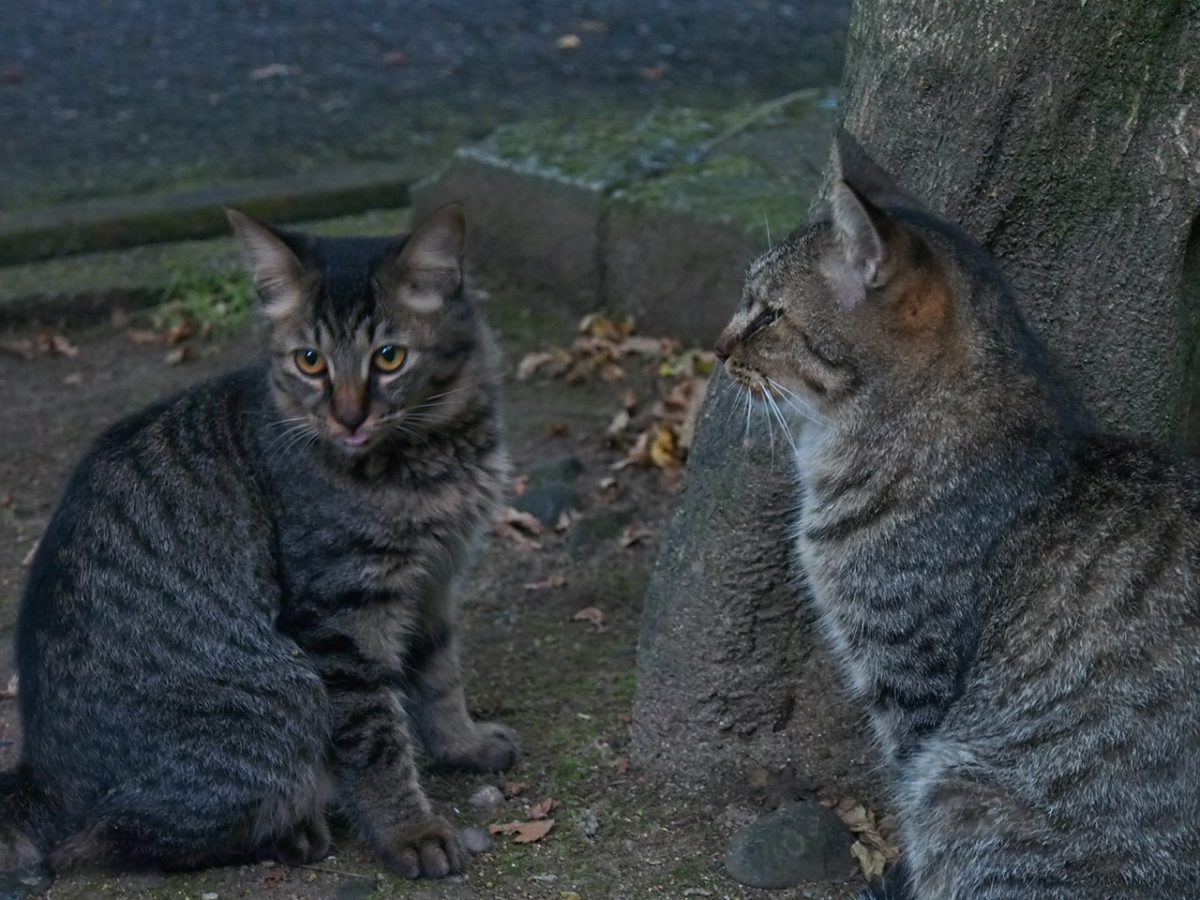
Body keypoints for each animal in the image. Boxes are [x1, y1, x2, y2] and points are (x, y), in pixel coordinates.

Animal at [0, 206, 511, 883]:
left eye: (390, 357)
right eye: (311, 361)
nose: (349, 417)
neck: (432, 456)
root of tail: (41, 773)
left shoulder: (434, 582)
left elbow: (439, 680)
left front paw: (464, 745)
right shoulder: (341, 616)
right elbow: (376, 739)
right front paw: (411, 830)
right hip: (287, 692)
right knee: (104, 841)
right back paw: (295, 832)